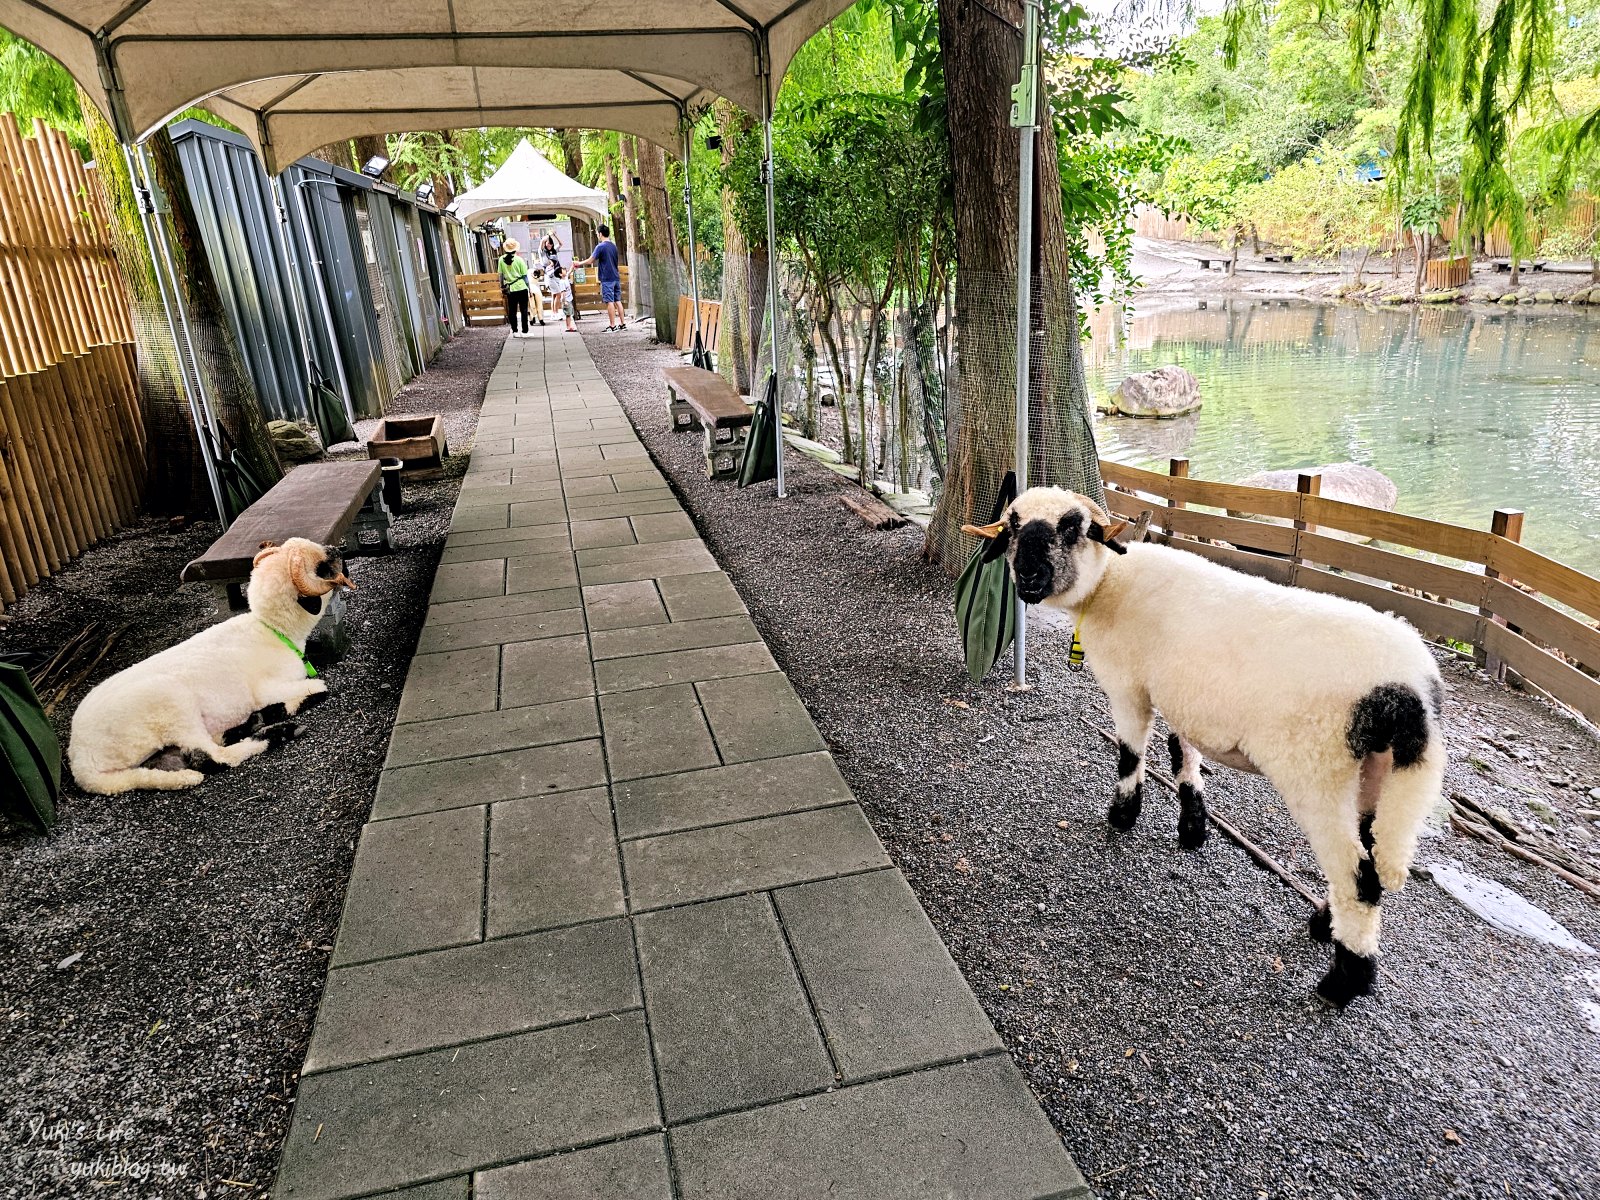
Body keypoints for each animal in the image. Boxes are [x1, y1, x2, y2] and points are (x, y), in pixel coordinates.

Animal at [70, 540, 355, 793]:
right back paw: (277, 732)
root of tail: (79, 758)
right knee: (213, 757)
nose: (342, 550)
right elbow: (320, 687)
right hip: (173, 707)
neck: (272, 631)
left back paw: (257, 722)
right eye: (322, 567)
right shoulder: (268, 688)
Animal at [960, 483, 1452, 1011]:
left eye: (1073, 527)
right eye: (1013, 525)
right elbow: (1184, 756)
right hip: (1374, 774)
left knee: (1357, 875)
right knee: (1369, 860)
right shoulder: (1184, 700)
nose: (1028, 575)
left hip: (1319, 772)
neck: (1111, 582)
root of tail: (1411, 693)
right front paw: (1193, 828)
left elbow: (1130, 754)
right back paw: (1327, 923)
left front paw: (1123, 817)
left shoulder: (1129, 688)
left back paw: (1344, 980)